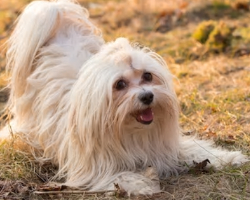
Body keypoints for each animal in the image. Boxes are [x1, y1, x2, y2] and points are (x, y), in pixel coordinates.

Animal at [1, 0, 248, 196]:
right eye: (119, 84)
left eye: (147, 76)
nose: (147, 96)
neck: (131, 131)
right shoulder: (93, 167)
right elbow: (120, 176)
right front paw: (142, 183)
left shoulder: (168, 146)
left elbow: (198, 150)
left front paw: (230, 158)